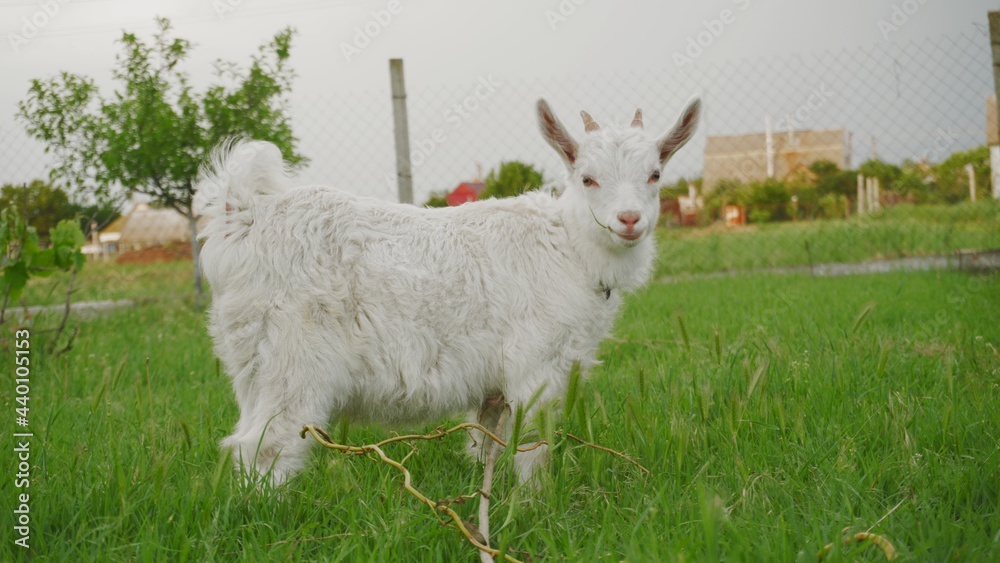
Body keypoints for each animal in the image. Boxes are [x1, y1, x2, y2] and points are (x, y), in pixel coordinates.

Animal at [194, 97, 701, 485]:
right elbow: (533, 446)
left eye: (655, 174)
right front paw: (534, 505)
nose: (629, 220)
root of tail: (243, 216)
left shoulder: (494, 387)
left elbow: (488, 444)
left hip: (251, 363)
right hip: (292, 360)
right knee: (262, 445)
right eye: (587, 178)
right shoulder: (535, 363)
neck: (568, 247)